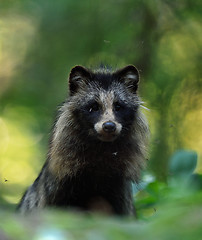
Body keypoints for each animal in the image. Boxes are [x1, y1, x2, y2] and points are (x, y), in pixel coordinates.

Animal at [18, 64, 149, 215]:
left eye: (118, 107)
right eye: (94, 107)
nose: (109, 126)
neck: (101, 147)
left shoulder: (119, 190)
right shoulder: (58, 186)